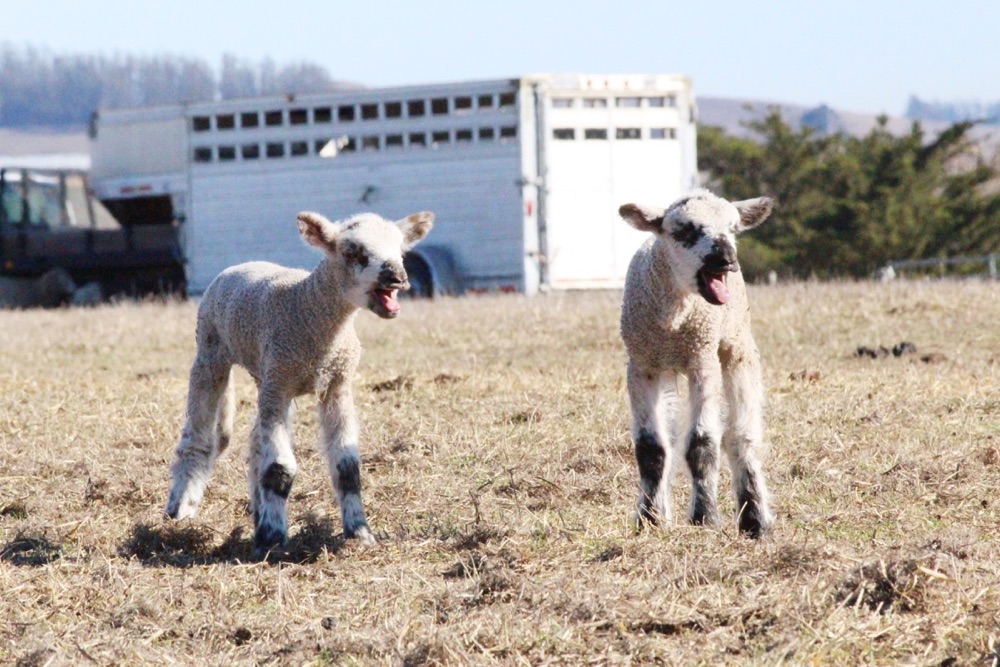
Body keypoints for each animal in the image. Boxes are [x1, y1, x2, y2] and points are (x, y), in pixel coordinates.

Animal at [165, 209, 433, 554]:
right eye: (353, 252)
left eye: (401, 251)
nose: (397, 277)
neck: (307, 306)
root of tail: (239, 265)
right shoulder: (279, 382)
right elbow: (279, 469)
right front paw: (272, 541)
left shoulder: (336, 384)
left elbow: (347, 468)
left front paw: (360, 533)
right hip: (211, 351)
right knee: (197, 437)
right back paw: (180, 508)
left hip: (266, 374)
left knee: (255, 443)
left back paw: (257, 512)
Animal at [618, 189, 775, 538]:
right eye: (684, 230)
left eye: (732, 228)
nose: (726, 259)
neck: (674, 324)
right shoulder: (641, 365)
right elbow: (651, 448)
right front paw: (648, 520)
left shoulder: (702, 359)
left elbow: (702, 443)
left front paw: (705, 517)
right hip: (665, 366)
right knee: (670, 438)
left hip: (737, 345)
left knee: (742, 436)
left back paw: (755, 520)